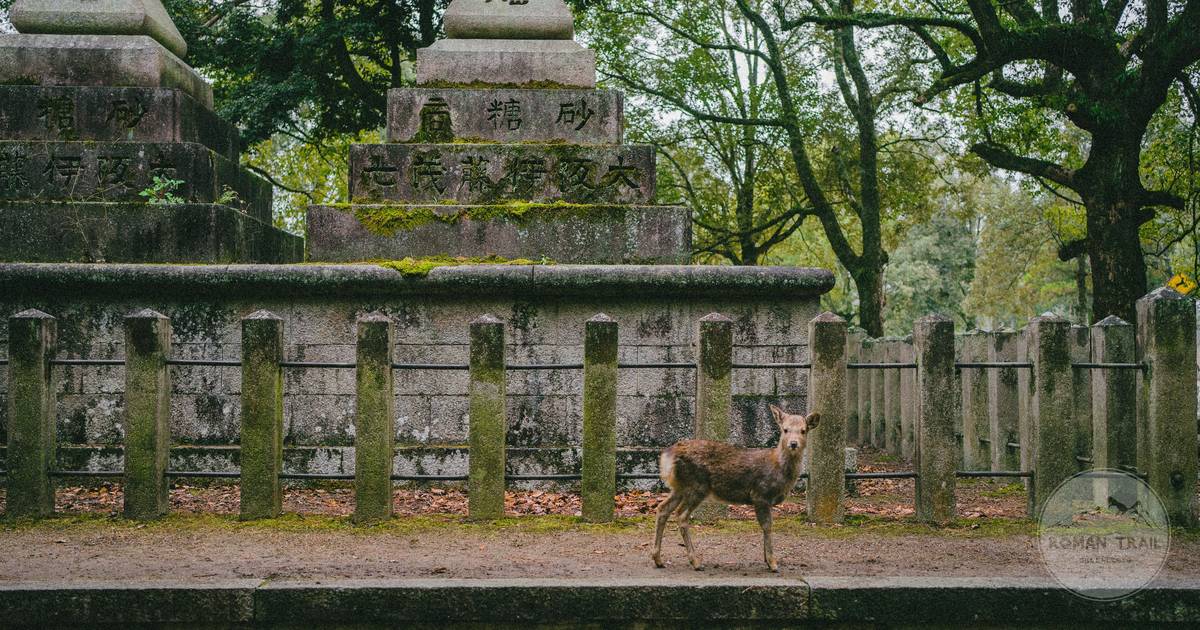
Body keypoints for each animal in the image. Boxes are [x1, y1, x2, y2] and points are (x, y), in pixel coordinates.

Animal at [651, 405, 819, 572]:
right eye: (785, 429)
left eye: (803, 430)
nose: (793, 443)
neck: (779, 470)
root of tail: (667, 457)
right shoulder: (761, 494)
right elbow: (767, 526)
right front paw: (772, 563)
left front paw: (766, 559)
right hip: (697, 486)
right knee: (681, 515)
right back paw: (696, 562)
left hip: (680, 487)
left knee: (662, 508)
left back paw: (658, 559)